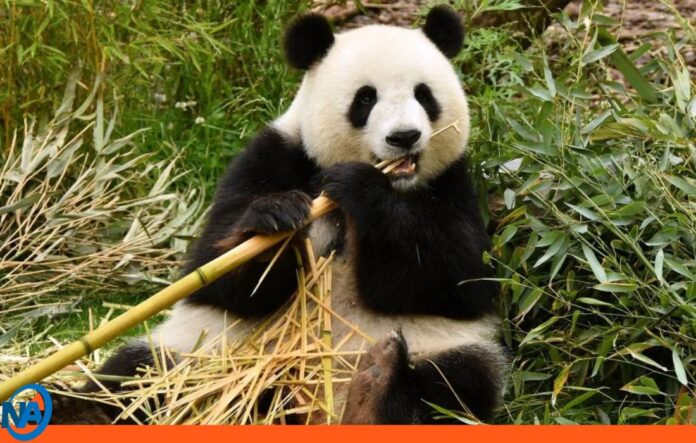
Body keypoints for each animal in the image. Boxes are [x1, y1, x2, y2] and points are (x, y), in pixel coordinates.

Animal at [63, 5, 507, 425]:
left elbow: (460, 276)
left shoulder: (453, 184)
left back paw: (374, 389)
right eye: (366, 99)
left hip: (438, 346)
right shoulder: (274, 156)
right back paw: (83, 412)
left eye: (424, 95)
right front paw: (276, 217)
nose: (404, 137)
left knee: (456, 383)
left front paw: (361, 189)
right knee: (141, 373)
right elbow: (216, 272)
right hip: (206, 349)